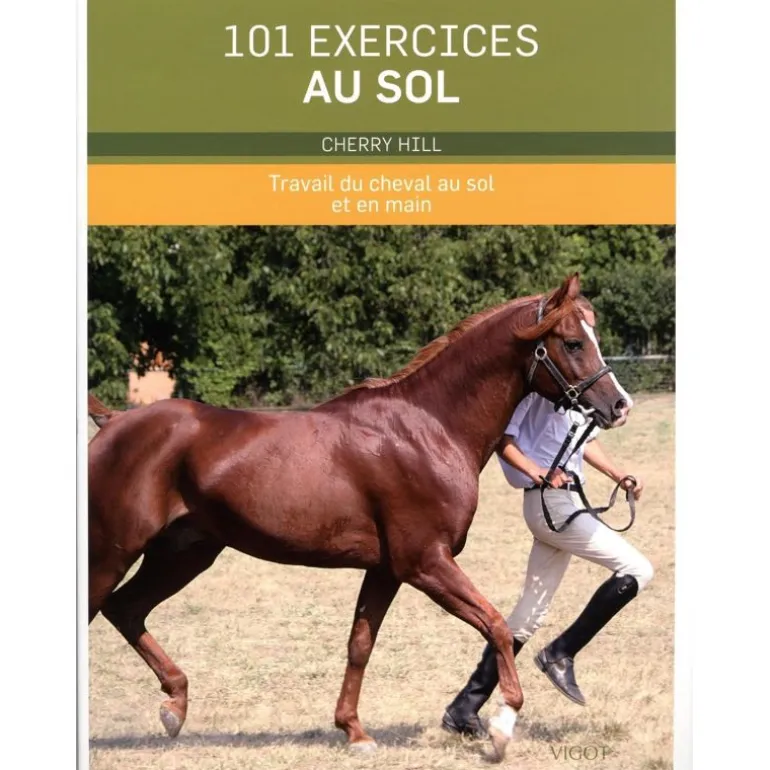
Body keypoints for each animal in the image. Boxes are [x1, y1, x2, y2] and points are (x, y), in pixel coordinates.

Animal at [87, 273, 632, 761]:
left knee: (126, 609)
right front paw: (500, 727)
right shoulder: (425, 562)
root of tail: (114, 422)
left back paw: (175, 706)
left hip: (184, 554)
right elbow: (496, 625)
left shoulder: (386, 570)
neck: (430, 427)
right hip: (112, 553)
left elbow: (360, 644)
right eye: (572, 342)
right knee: (103, 608)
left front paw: (353, 731)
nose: (618, 406)